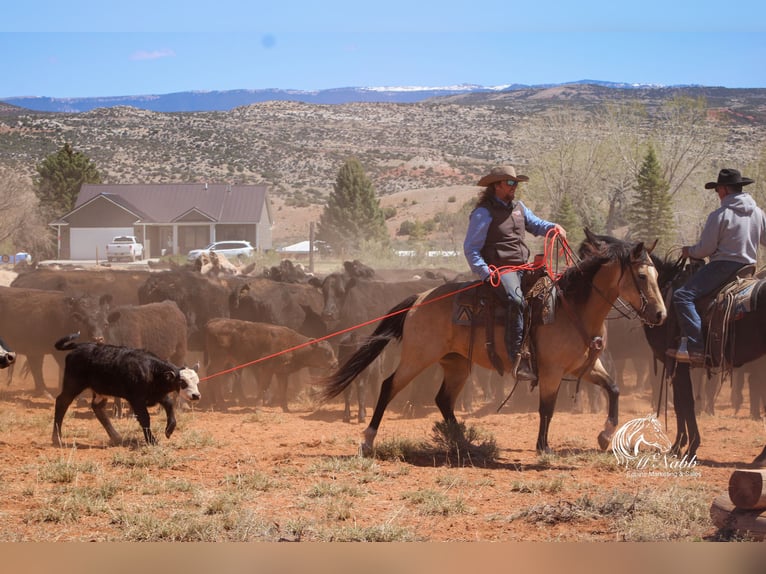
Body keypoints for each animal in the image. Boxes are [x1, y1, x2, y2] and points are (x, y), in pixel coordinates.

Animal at [204, 318, 336, 412]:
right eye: (326, 352)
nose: (335, 363)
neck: (292, 343)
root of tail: (212, 322)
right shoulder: (267, 369)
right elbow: (263, 386)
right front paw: (258, 408)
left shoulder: (282, 373)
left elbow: (283, 389)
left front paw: (286, 409)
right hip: (220, 359)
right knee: (215, 376)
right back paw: (222, 406)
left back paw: (211, 404)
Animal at [316, 230, 668, 460]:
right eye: (641, 276)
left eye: (657, 275)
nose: (660, 314)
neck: (572, 309)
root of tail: (418, 299)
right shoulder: (551, 371)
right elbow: (547, 408)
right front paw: (544, 447)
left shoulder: (588, 366)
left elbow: (614, 390)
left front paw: (605, 435)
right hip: (418, 357)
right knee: (389, 386)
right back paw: (368, 440)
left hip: (456, 363)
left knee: (444, 400)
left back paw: (465, 444)